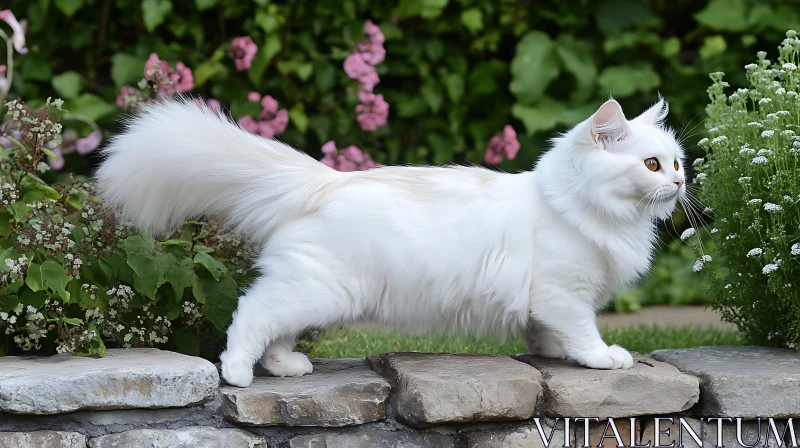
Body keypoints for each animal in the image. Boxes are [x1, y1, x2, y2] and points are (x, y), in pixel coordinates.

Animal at [97, 96, 688, 386]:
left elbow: (544, 332)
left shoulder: (546, 300)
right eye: (651, 165)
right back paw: (238, 373)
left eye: (677, 162)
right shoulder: (565, 291)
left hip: (310, 289)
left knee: (275, 325)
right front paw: (603, 359)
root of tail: (328, 180)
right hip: (320, 289)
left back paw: (286, 368)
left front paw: (549, 352)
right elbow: (583, 333)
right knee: (251, 315)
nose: (682, 183)